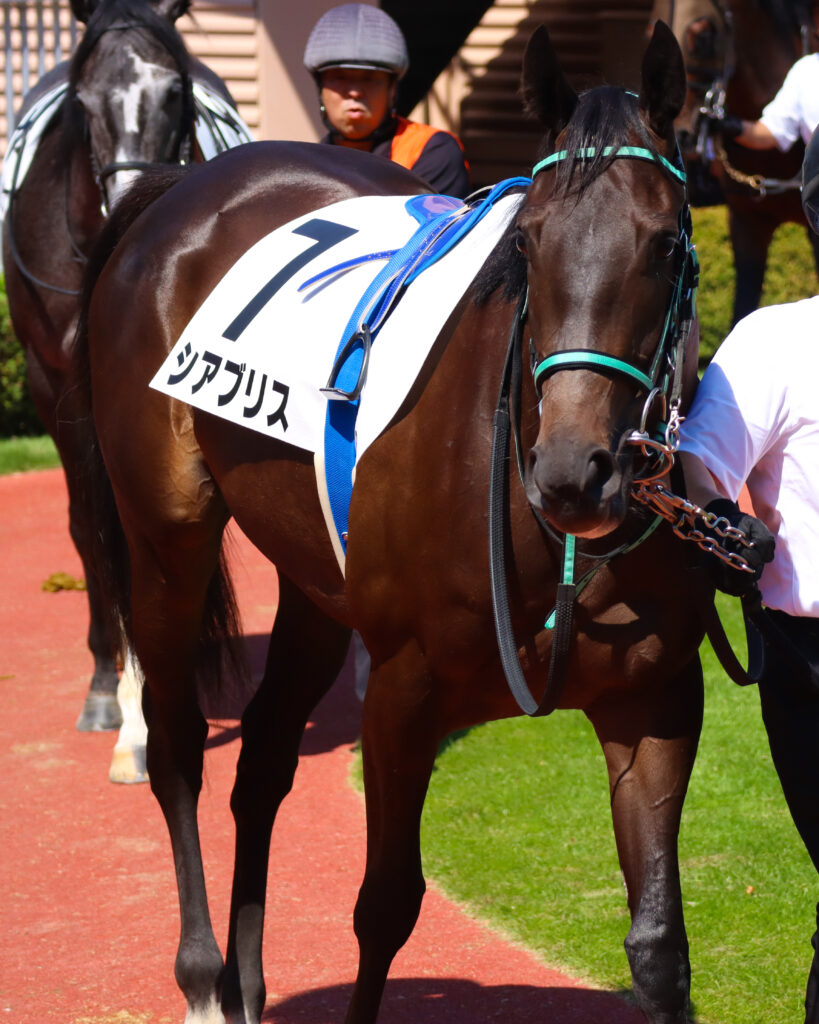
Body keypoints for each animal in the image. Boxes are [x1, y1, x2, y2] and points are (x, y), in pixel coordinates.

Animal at [1, 0, 252, 783]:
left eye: (175, 92)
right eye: (85, 104)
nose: (131, 204)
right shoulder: (54, 388)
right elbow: (96, 529)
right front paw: (123, 708)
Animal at [79, 20, 711, 1024]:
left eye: (661, 244)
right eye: (527, 242)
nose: (572, 473)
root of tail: (179, 188)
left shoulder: (653, 700)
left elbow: (657, 949)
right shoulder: (403, 693)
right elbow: (383, 907)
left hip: (312, 576)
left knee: (263, 758)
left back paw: (246, 983)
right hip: (166, 540)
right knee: (180, 746)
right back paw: (204, 979)